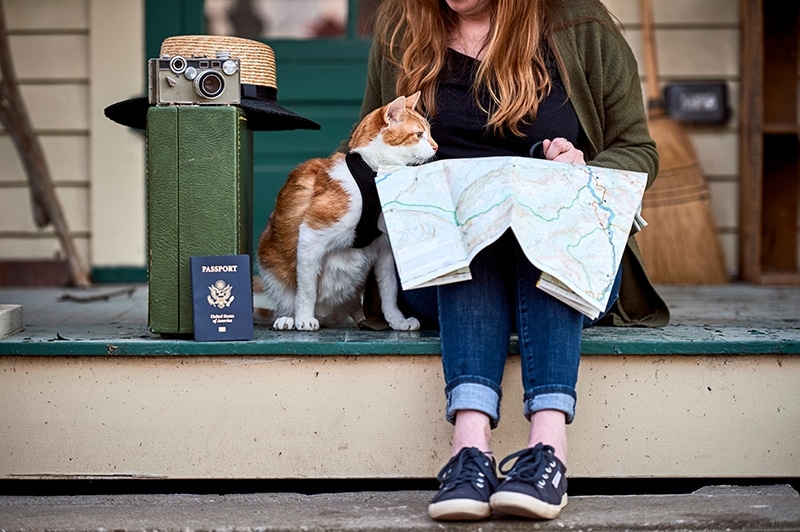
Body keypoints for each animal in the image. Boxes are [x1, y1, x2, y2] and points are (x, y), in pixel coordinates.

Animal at [256, 93, 438, 330]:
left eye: (430, 132)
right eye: (418, 135)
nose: (436, 147)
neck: (371, 173)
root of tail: (329, 313)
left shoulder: (385, 250)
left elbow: (389, 291)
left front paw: (397, 320)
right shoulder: (310, 236)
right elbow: (306, 290)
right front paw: (304, 318)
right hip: (270, 261)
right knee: (287, 298)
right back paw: (289, 319)